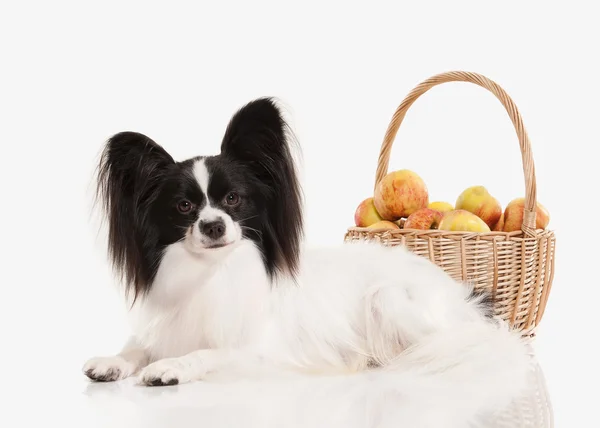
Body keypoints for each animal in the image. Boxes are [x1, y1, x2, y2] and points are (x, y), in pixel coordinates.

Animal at [83, 97, 528, 422]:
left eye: (233, 199)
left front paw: (170, 366)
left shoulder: (257, 351)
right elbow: (136, 347)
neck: (213, 272)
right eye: (184, 206)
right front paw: (113, 360)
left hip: (388, 299)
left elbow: (206, 353)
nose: (212, 226)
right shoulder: (162, 325)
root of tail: (465, 299)